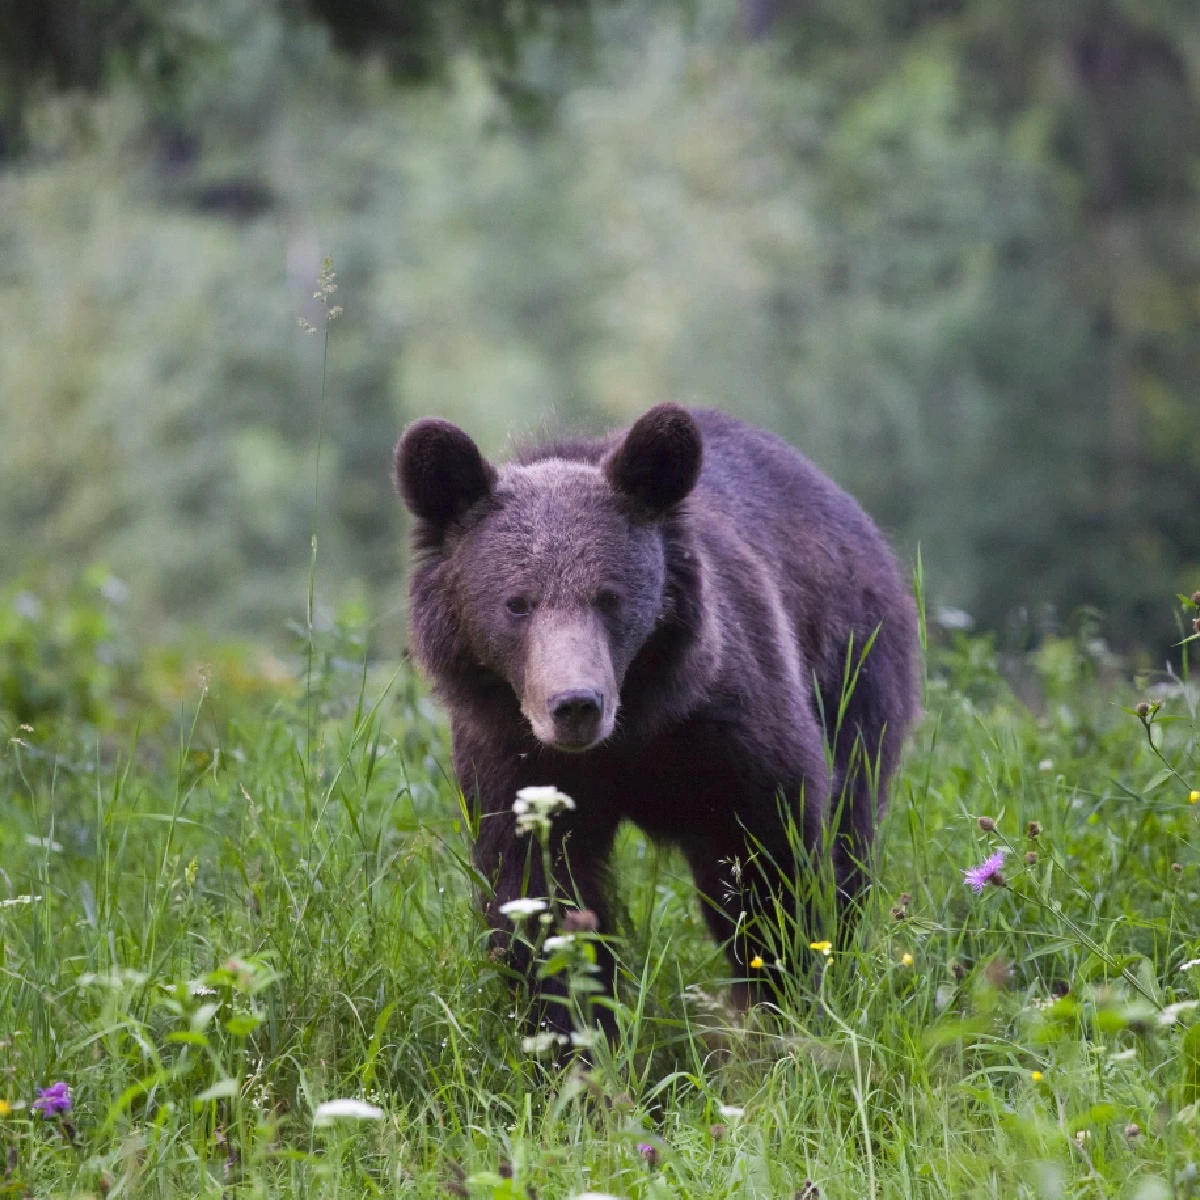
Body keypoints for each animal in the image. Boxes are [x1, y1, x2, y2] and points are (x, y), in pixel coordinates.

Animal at [393, 405, 916, 1041]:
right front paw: (574, 1034)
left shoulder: (732, 731)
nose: (576, 705)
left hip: (853, 671)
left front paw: (779, 997)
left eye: (608, 597)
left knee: (849, 827)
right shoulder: (514, 759)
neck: (635, 732)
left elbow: (770, 861)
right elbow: (538, 894)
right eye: (517, 603)